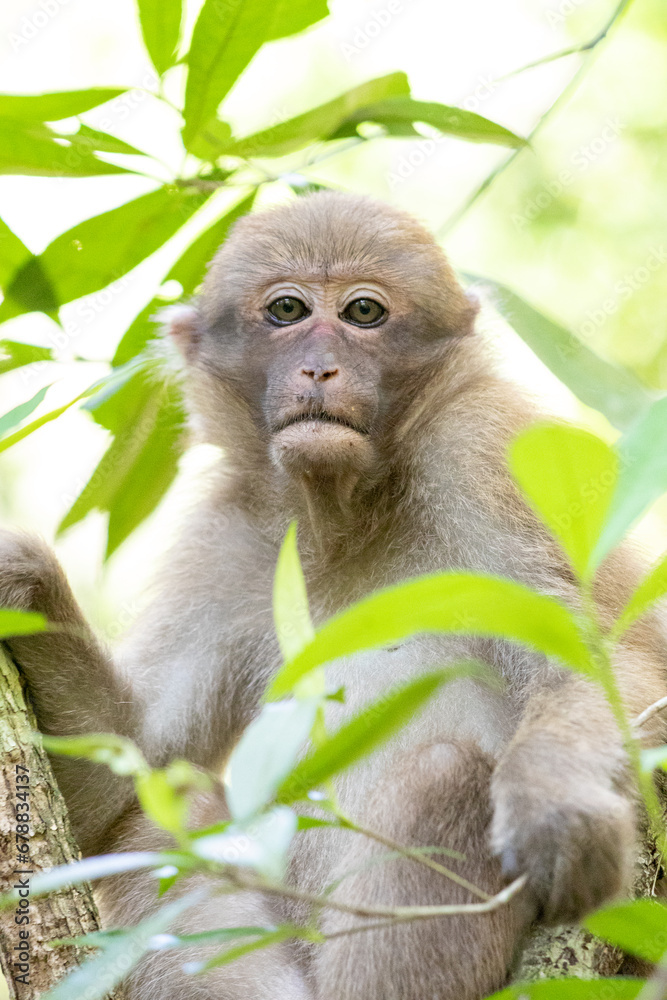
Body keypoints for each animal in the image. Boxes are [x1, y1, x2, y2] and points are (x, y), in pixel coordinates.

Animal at [0, 190, 666, 1000]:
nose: (320, 367)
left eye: (363, 313)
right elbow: (124, 779)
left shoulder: (481, 453)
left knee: (447, 774)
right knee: (157, 829)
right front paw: (24, 580)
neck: (346, 516)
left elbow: (604, 664)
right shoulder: (227, 535)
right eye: (286, 310)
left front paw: (556, 803)